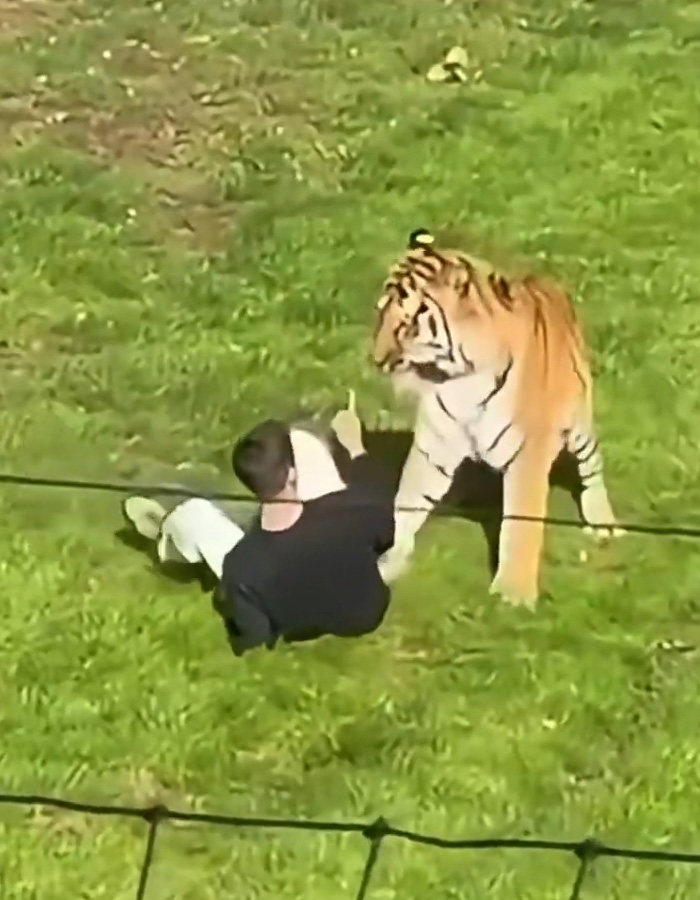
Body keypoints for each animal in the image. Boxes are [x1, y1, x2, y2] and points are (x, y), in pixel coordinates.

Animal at [371, 228, 622, 608]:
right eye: (380, 314)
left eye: (407, 324)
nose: (376, 359)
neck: (459, 378)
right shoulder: (434, 446)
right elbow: (407, 502)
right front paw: (388, 561)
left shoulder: (529, 453)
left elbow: (520, 524)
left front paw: (513, 594)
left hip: (579, 424)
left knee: (592, 466)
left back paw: (602, 523)